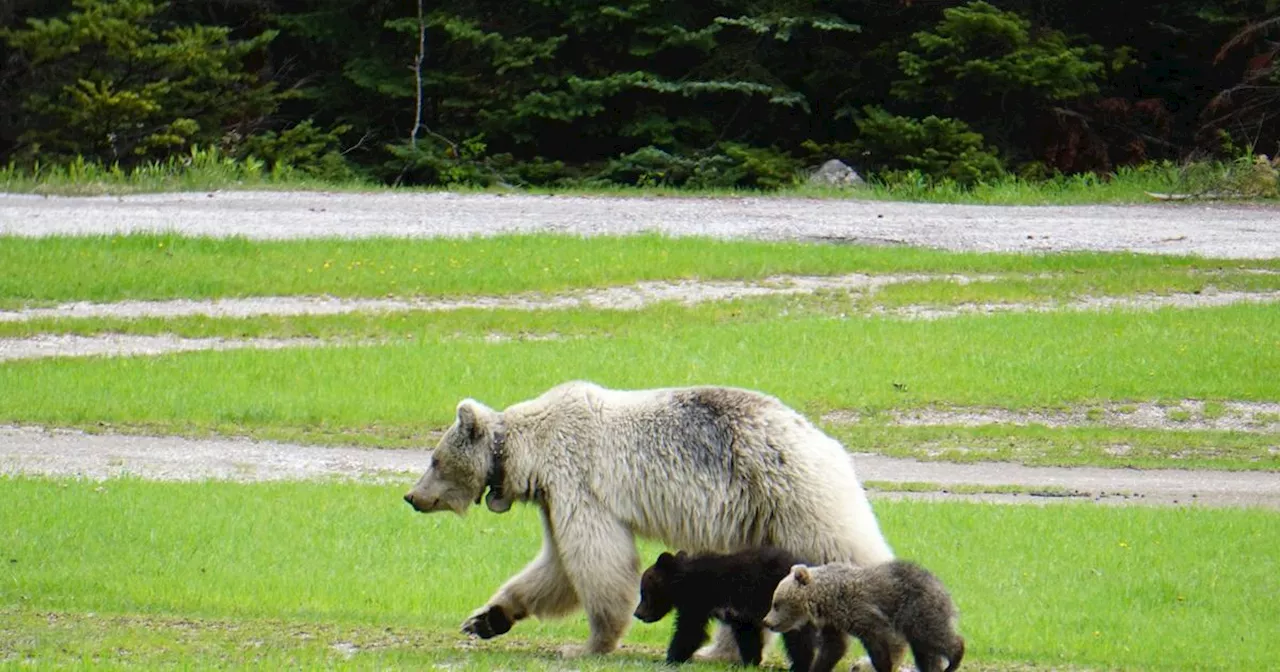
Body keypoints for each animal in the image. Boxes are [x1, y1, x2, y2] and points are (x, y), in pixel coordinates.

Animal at [404, 378, 896, 655]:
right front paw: (486, 618)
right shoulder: (552, 498)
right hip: (758, 520)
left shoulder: (577, 482)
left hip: (793, 494)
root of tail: (826, 441)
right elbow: (556, 567)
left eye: (433, 459)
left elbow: (597, 560)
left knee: (846, 550)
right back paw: (721, 652)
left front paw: (590, 644)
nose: (411, 497)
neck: (530, 453)